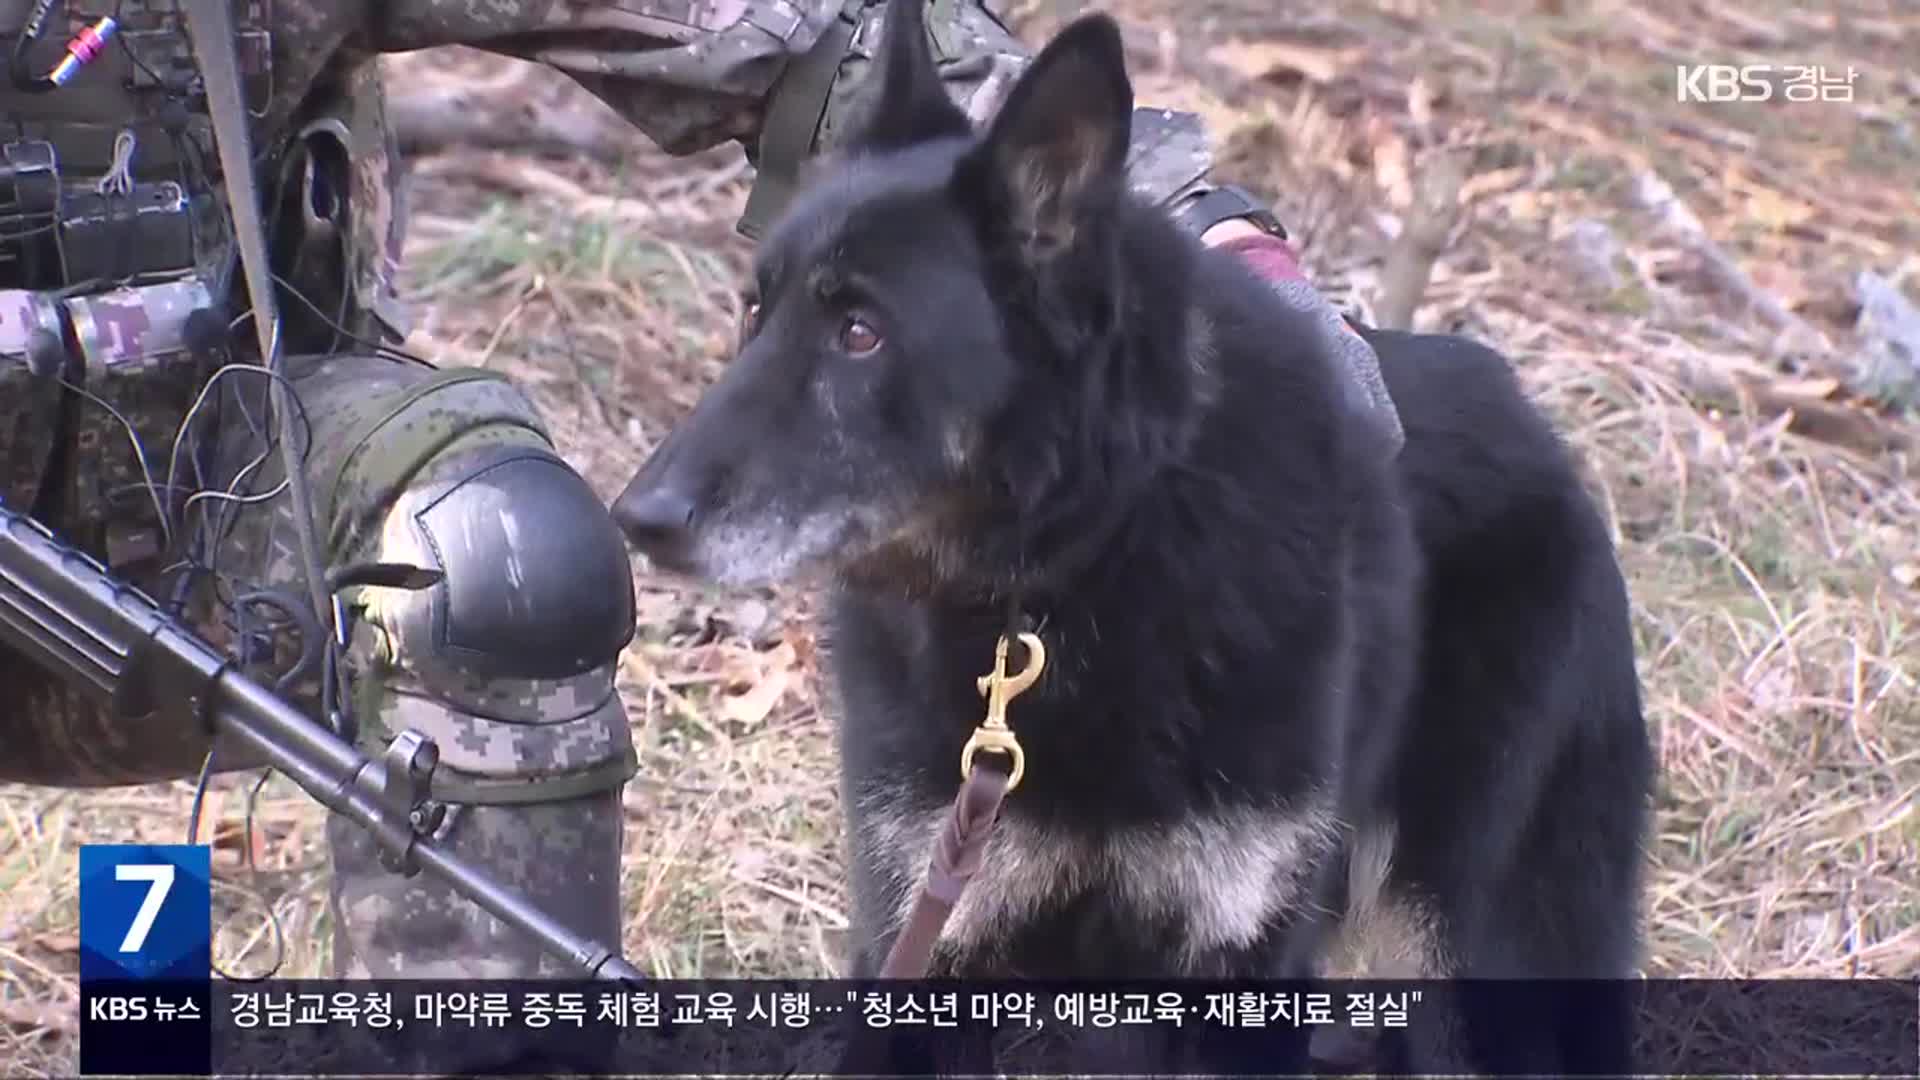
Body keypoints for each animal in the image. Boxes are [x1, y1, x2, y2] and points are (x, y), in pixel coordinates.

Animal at [610, 0, 1651, 1068]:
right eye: (755, 310)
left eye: (859, 330)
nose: (634, 518)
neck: (1082, 574)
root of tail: (1533, 420)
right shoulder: (925, 939)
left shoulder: (1240, 970)